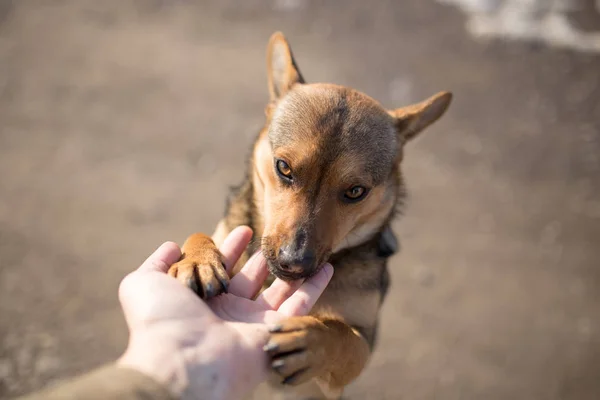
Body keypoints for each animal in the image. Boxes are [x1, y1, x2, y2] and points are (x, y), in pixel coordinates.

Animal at [168, 32, 450, 400]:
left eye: (356, 191)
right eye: (283, 168)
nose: (294, 263)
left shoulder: (362, 344)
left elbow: (344, 337)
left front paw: (312, 341)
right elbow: (200, 235)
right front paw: (197, 260)